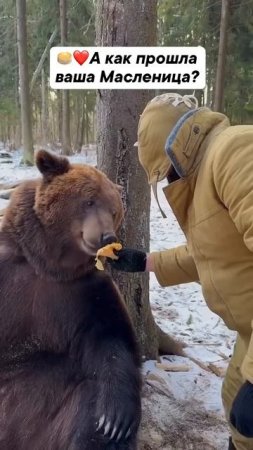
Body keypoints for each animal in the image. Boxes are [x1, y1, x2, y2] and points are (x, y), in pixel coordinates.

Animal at [0, 151, 141, 450]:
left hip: (45, 406)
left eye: (114, 211)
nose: (107, 236)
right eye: (89, 201)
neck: (47, 265)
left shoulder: (85, 294)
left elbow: (113, 341)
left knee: (88, 407)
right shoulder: (11, 274)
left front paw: (116, 420)